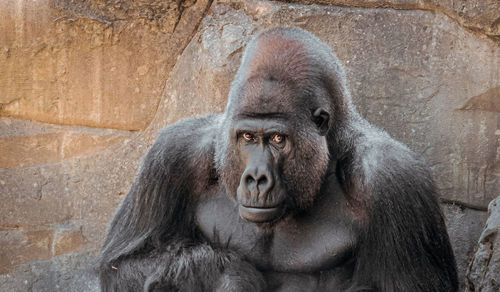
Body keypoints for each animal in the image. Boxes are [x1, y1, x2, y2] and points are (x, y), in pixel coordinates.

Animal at [99, 26, 458, 290]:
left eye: (276, 139)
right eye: (247, 137)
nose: (256, 178)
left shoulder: (394, 177)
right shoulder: (175, 153)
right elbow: (123, 264)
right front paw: (224, 274)